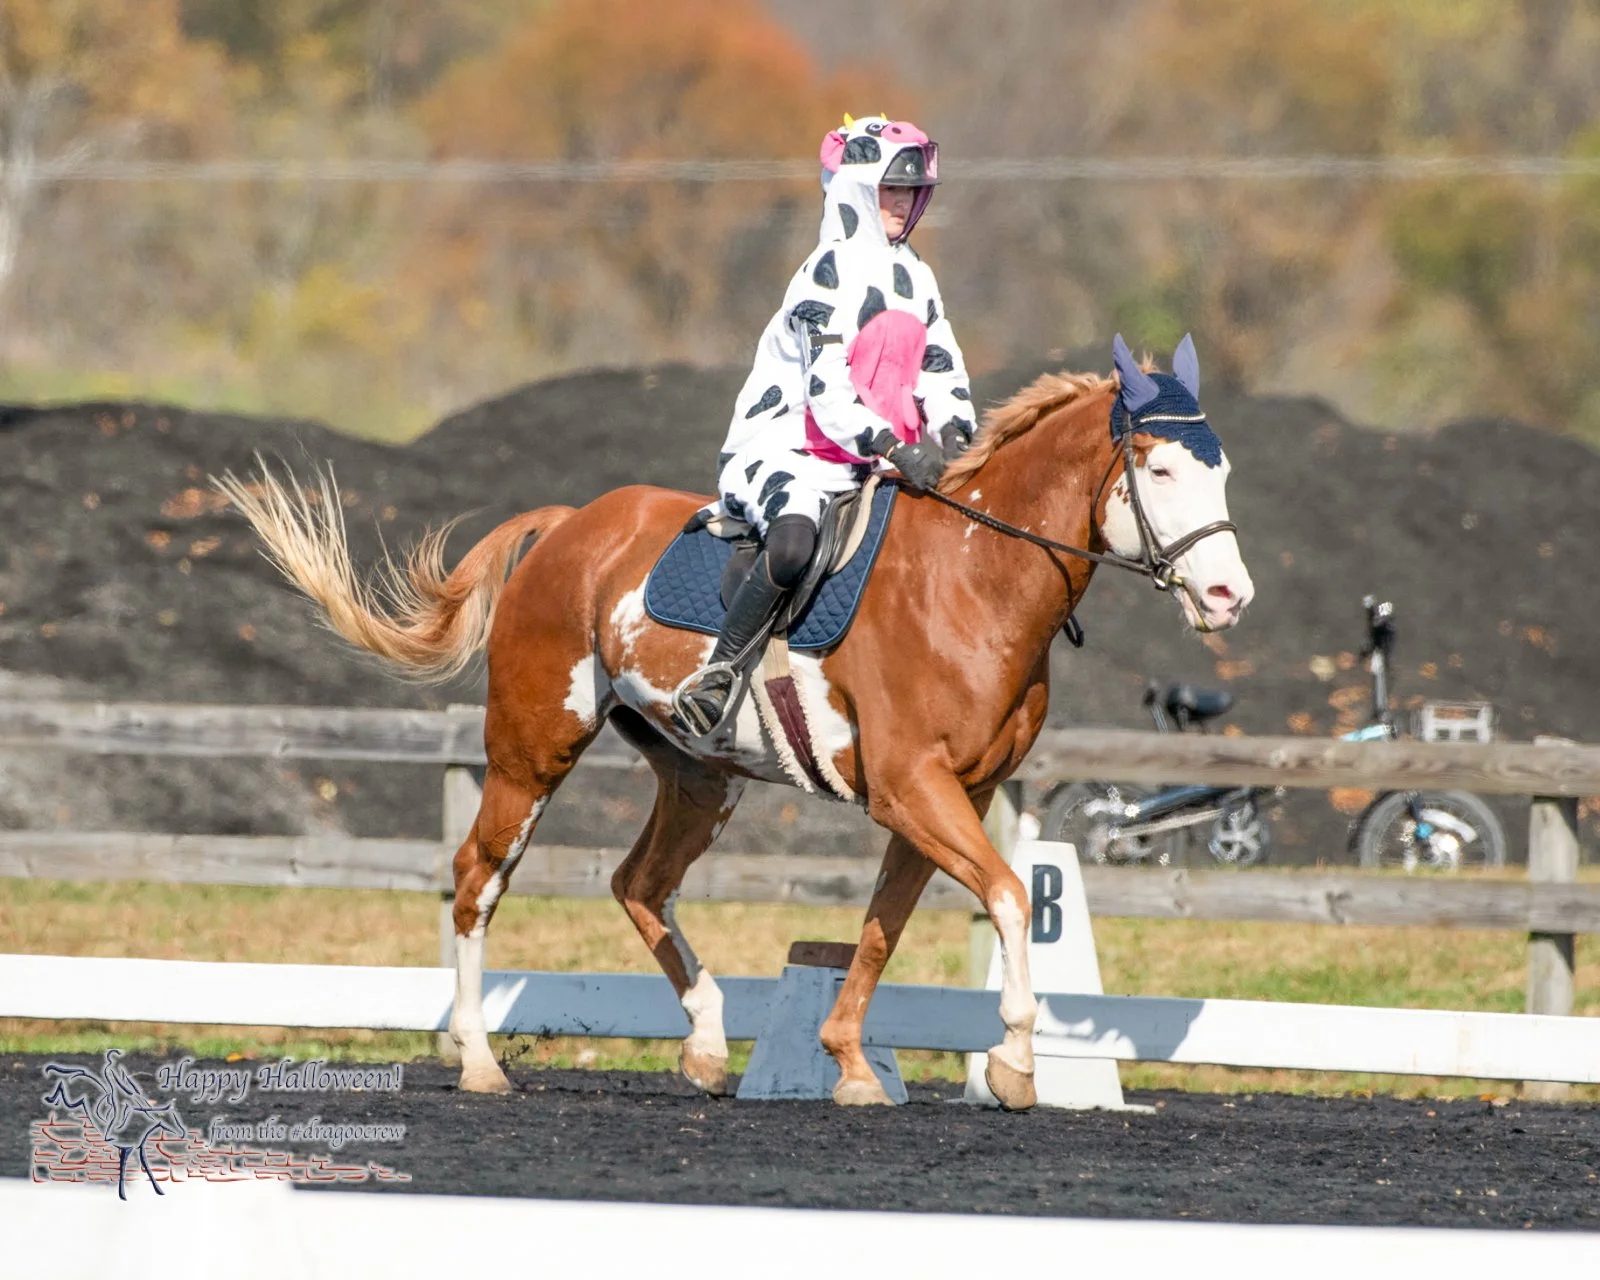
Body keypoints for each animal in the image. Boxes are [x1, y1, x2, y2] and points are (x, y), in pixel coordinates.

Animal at [216, 336, 1253, 1111]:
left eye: (1222, 471)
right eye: (1160, 468)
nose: (1229, 596)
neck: (971, 580)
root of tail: (570, 524)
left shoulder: (948, 795)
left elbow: (884, 925)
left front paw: (848, 1061)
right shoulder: (913, 788)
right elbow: (1004, 895)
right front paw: (1013, 1061)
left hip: (700, 775)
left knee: (640, 882)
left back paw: (710, 1044)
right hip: (531, 751)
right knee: (479, 877)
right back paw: (477, 1060)